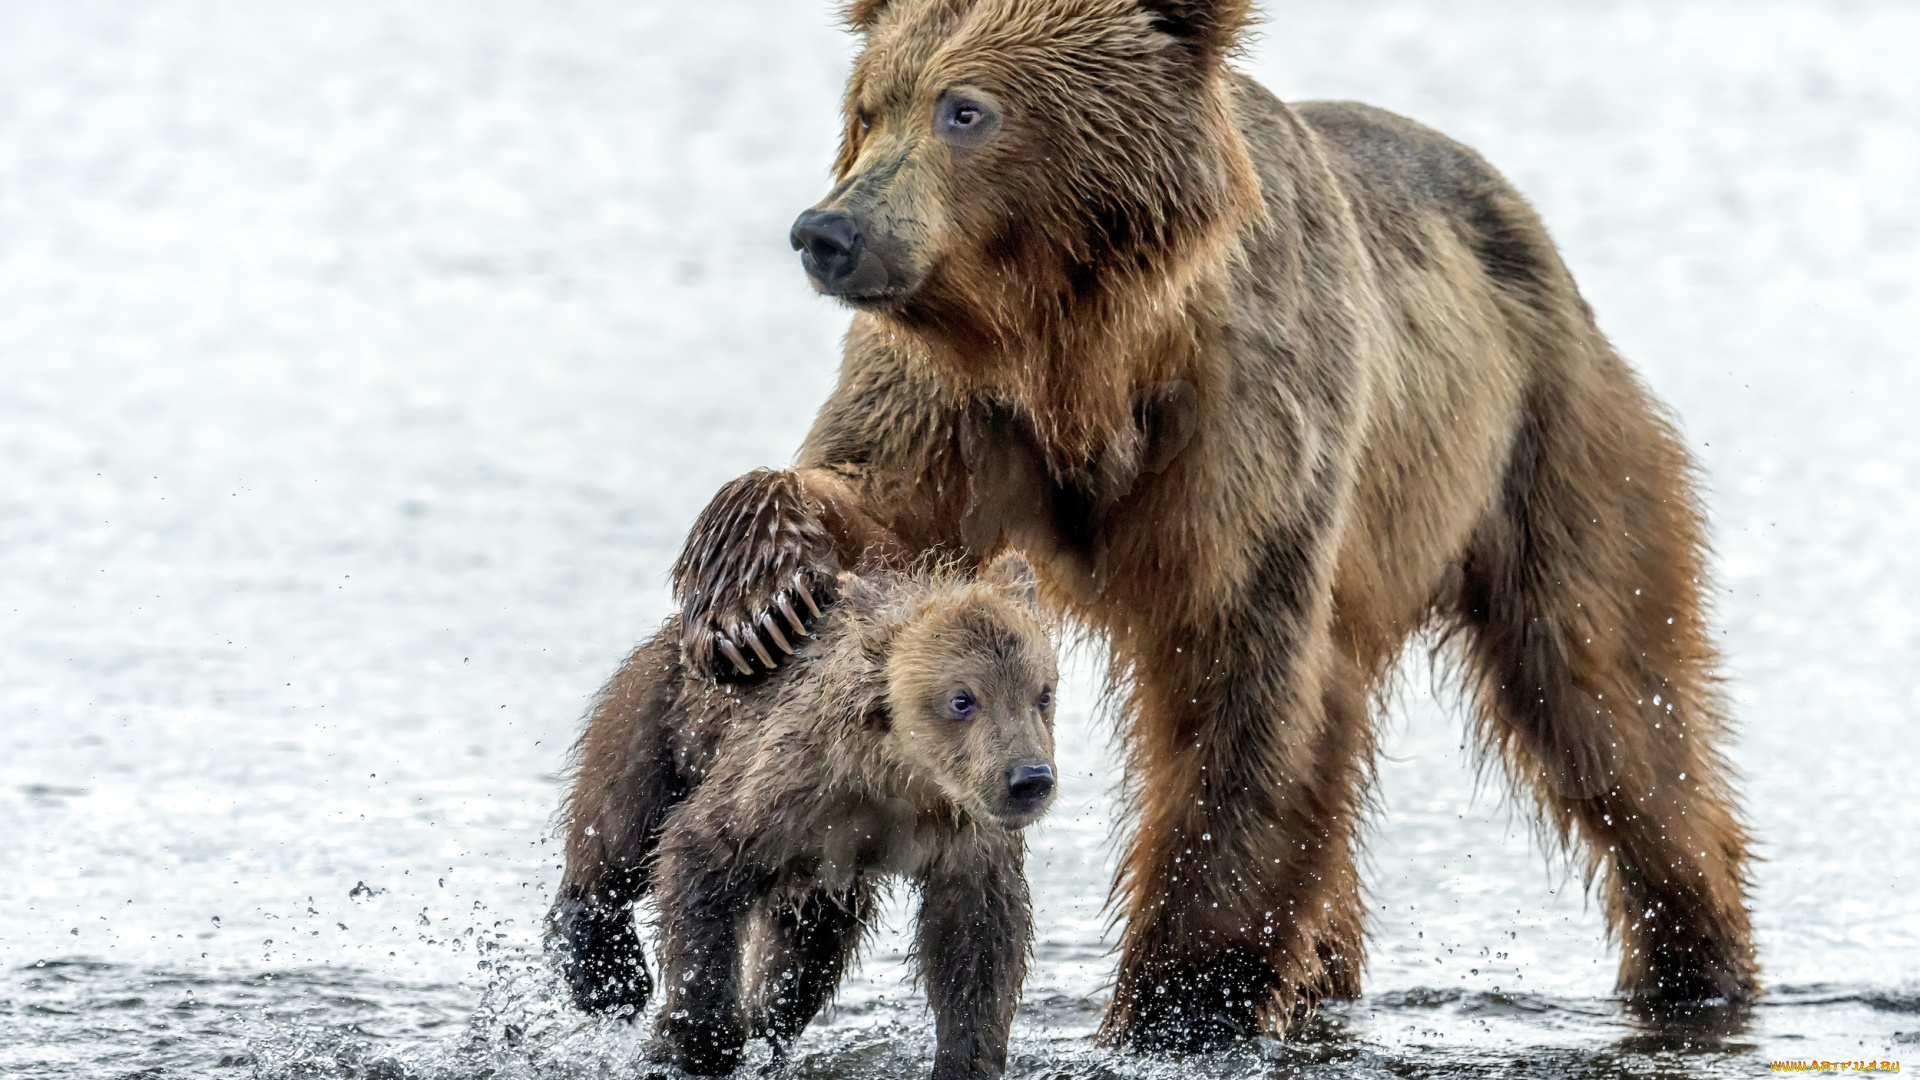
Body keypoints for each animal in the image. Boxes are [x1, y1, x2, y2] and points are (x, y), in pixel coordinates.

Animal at [552, 552, 1059, 1078]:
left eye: (1042, 693)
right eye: (962, 698)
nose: (1030, 778)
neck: (902, 775)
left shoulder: (963, 833)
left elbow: (978, 938)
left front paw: (965, 1059)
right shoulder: (790, 781)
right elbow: (700, 856)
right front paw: (690, 1043)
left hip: (822, 874)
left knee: (811, 952)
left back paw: (768, 1024)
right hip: (662, 719)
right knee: (619, 833)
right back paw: (606, 971)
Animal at [656, 0, 1758, 1052]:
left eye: (964, 109)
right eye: (867, 109)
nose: (826, 232)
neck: (1084, 355)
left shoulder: (1248, 426)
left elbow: (1239, 693)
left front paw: (1178, 1004)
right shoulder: (949, 403)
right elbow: (870, 505)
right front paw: (755, 595)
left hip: (1547, 443)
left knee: (1611, 701)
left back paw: (1697, 959)